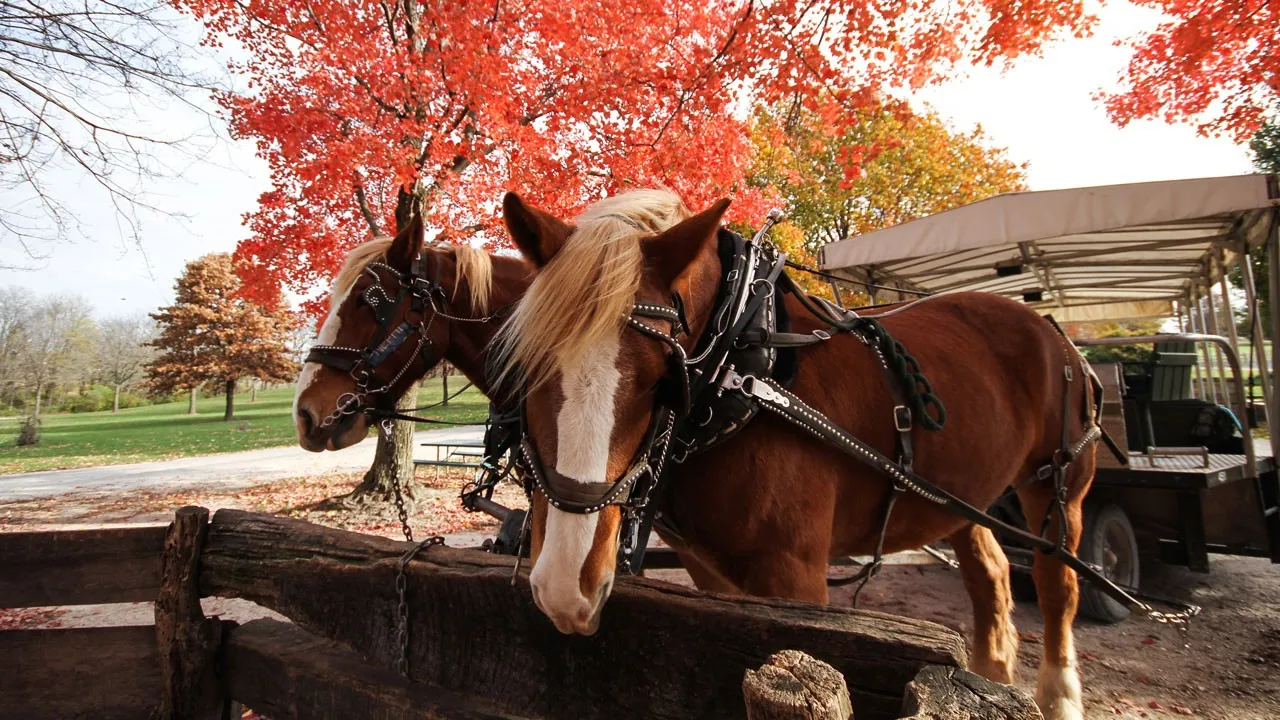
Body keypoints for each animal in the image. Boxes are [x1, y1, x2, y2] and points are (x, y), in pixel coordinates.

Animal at [494, 189, 1098, 720]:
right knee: (990, 576)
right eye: (523, 368)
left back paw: (1059, 695)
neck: (738, 365)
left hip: (1057, 486)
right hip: (960, 493)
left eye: (665, 380)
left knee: (1058, 585)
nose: (566, 585)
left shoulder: (795, 578)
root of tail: (1046, 325)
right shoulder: (709, 569)